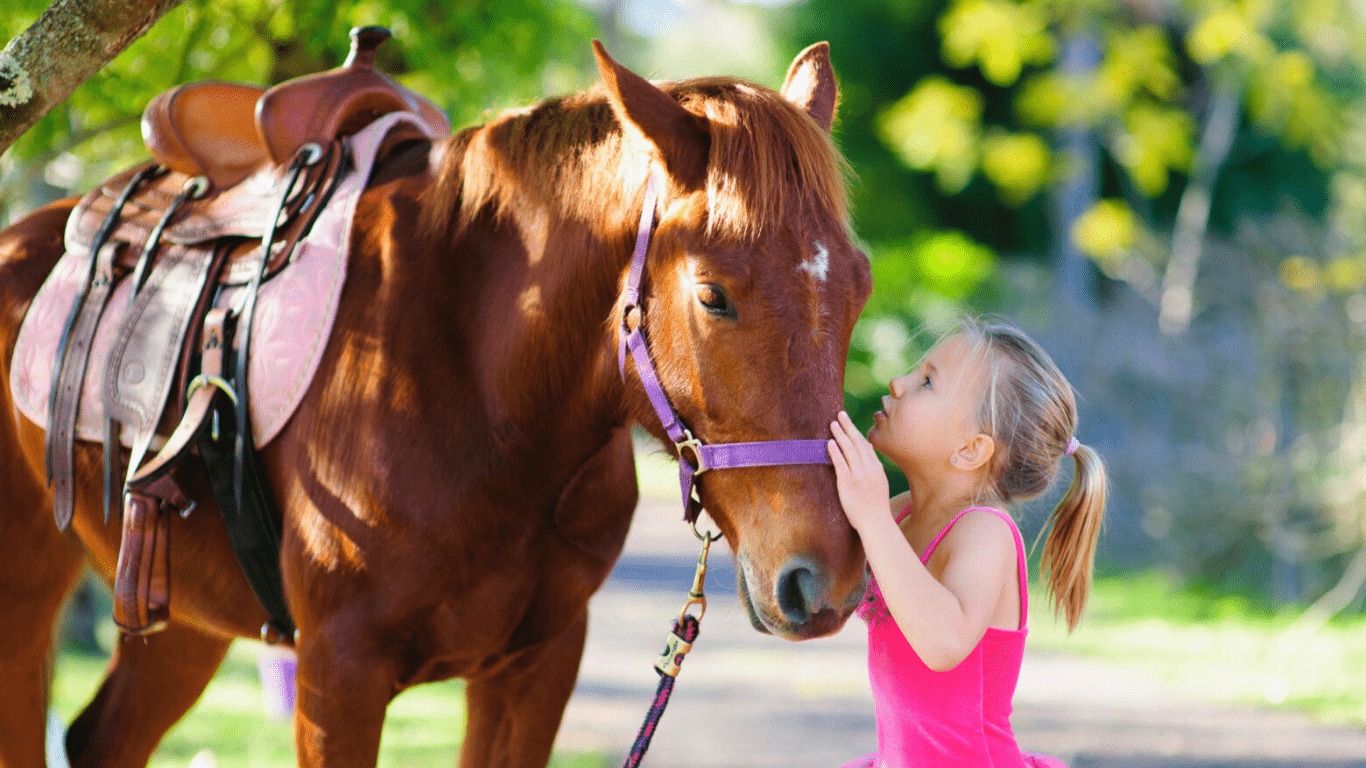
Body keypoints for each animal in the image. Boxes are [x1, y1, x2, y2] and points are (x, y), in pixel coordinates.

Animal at [0, 40, 874, 765]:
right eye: (712, 295)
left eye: (860, 287)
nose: (824, 578)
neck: (485, 400)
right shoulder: (338, 679)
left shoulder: (537, 667)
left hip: (177, 614)